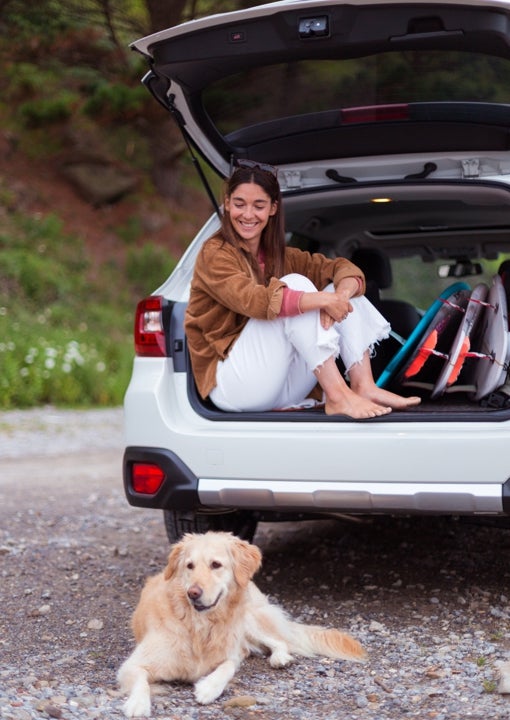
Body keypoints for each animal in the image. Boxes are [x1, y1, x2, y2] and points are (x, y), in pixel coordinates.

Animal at [118, 528, 366, 716]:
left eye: (216, 565)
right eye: (189, 566)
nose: (193, 593)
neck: (200, 626)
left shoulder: (229, 653)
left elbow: (228, 666)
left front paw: (208, 688)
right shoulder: (132, 664)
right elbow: (141, 681)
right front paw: (138, 704)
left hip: (250, 620)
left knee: (278, 641)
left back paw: (280, 658)